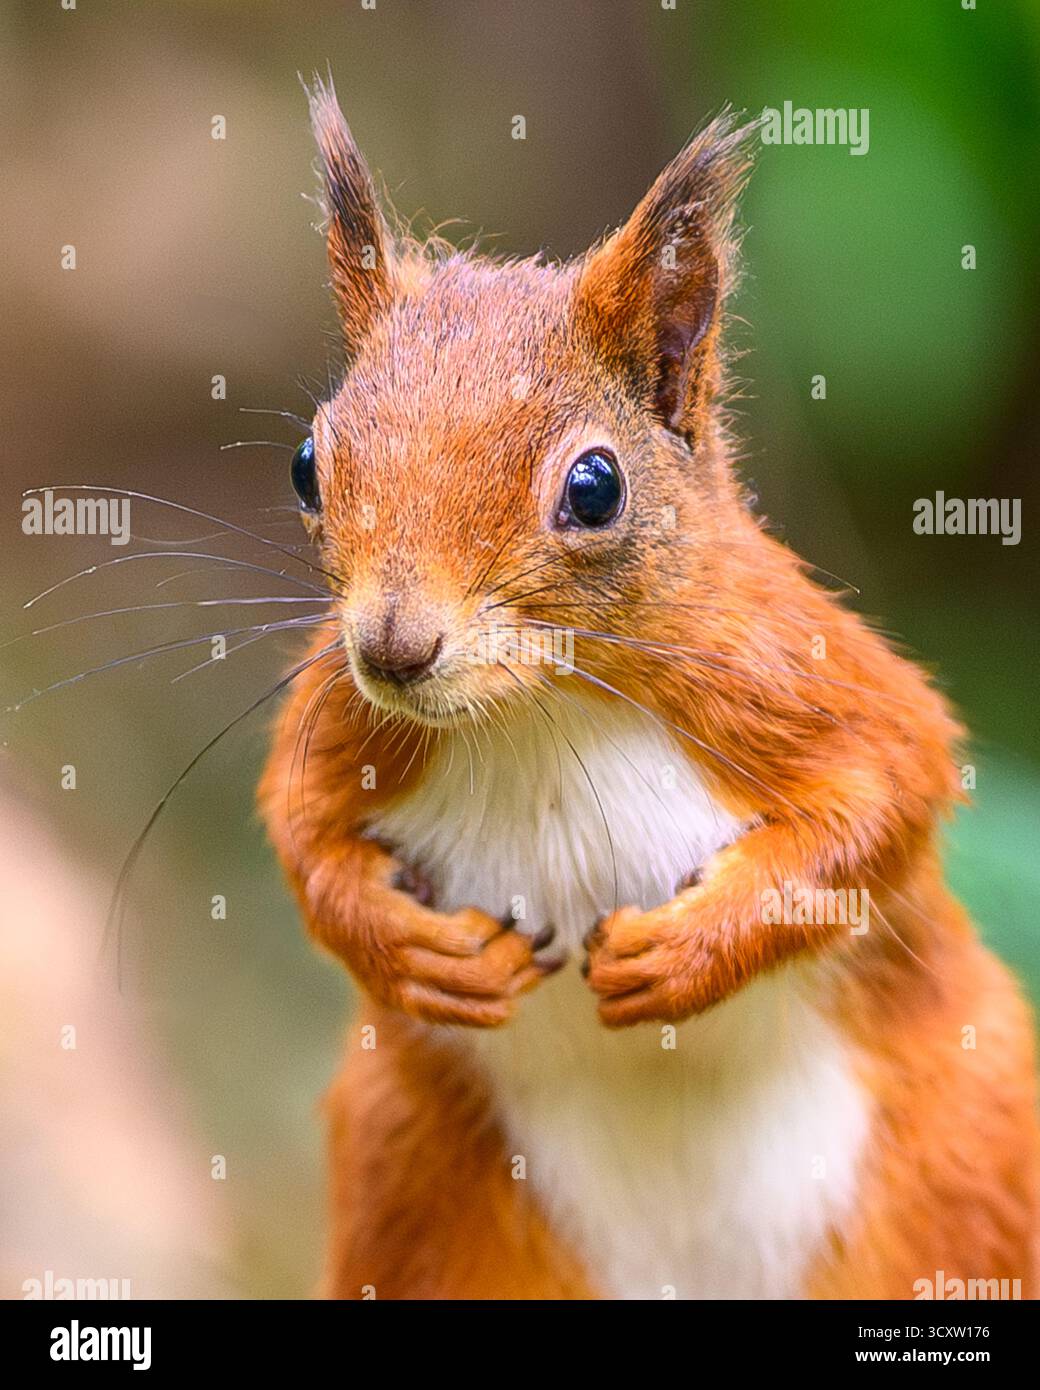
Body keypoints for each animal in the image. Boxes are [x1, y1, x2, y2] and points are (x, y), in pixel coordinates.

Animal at [259, 79, 1039, 1300]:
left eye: (594, 487)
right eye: (307, 465)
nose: (393, 648)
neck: (540, 710)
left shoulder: (790, 670)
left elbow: (889, 795)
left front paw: (685, 953)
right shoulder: (344, 722)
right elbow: (298, 834)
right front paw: (414, 953)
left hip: (968, 1169)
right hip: (413, 1185)